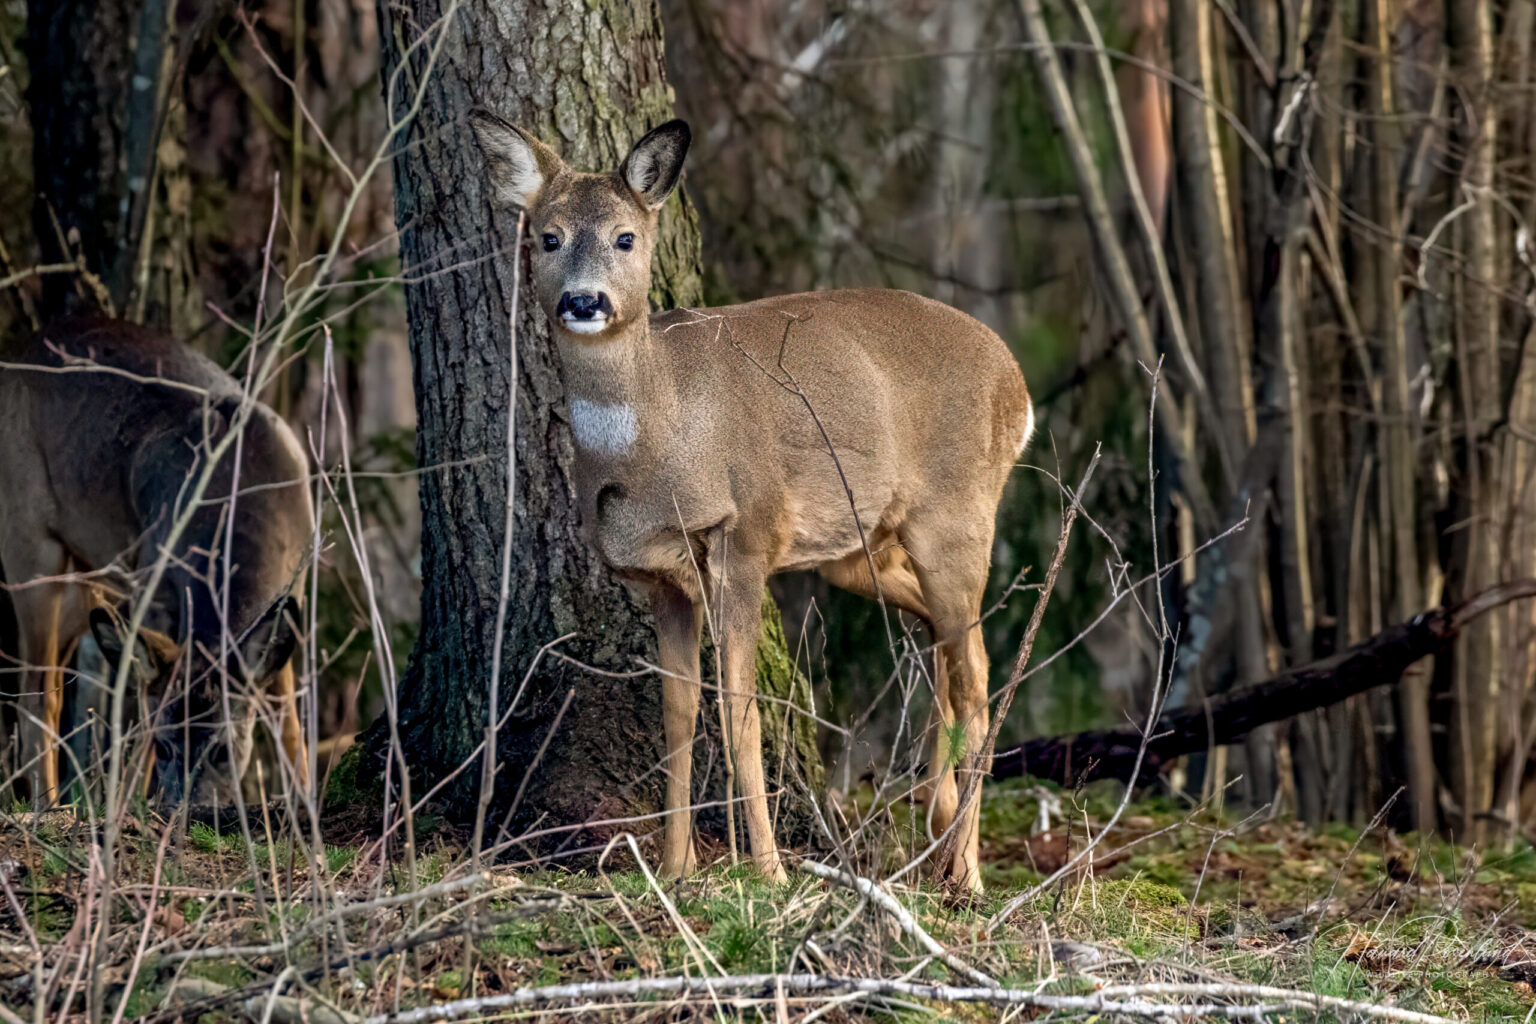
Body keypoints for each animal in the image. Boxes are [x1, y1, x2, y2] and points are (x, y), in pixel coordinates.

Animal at [0, 318, 313, 811]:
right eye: (166, 747)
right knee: (38, 694)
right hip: (28, 542)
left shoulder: (293, 586)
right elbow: (143, 712)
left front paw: (305, 798)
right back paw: (46, 804)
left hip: (87, 575)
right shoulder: (155, 586)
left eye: (224, 749)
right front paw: (129, 808)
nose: (188, 807)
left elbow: (288, 721)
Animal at [469, 113, 1033, 890]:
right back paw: (939, 827)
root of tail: (1018, 383)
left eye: (625, 238)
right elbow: (679, 714)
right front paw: (675, 868)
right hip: (861, 548)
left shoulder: (744, 538)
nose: (584, 301)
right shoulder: (661, 577)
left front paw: (767, 873)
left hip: (958, 513)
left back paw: (966, 871)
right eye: (548, 237)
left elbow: (741, 709)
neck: (660, 436)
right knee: (939, 652)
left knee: (977, 683)